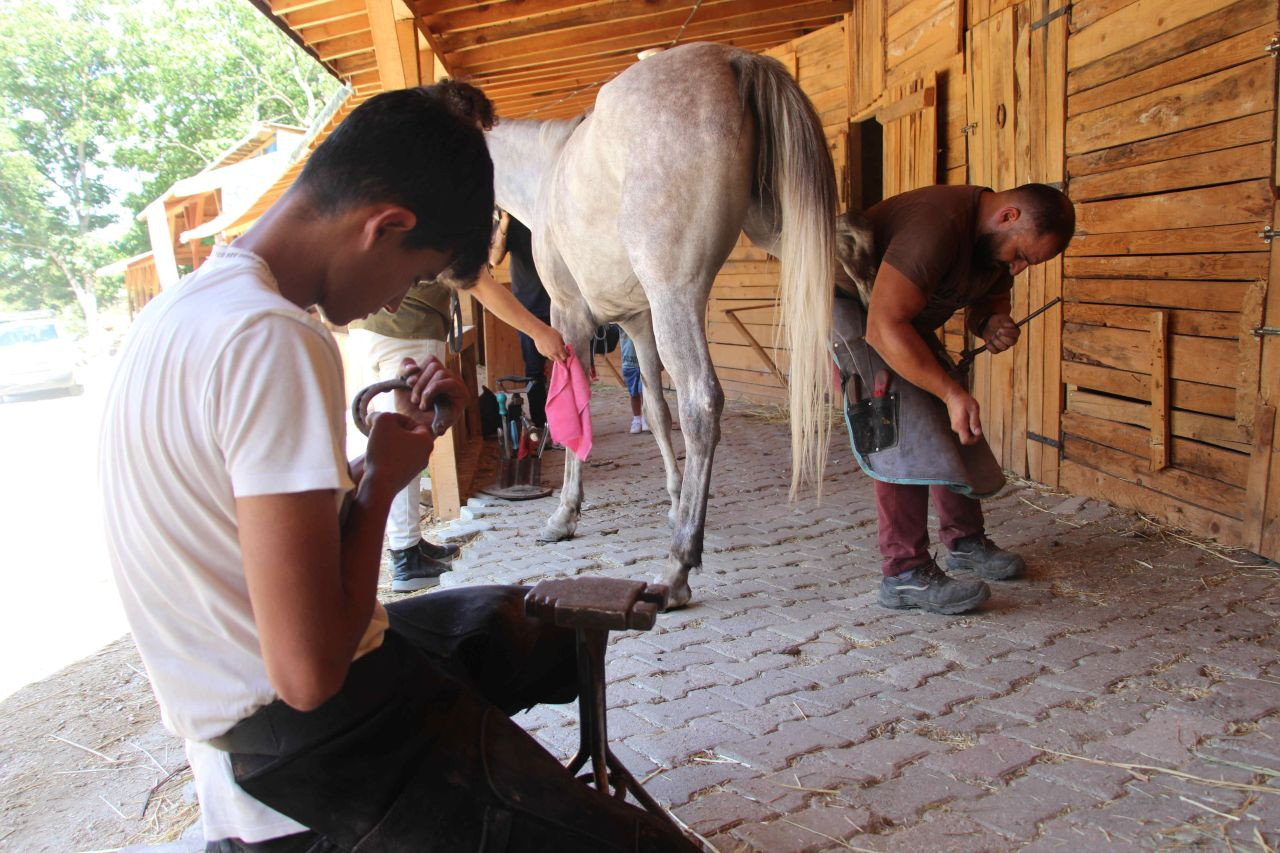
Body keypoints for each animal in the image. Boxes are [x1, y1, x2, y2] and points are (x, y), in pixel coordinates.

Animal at [483, 41, 834, 604]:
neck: (548, 167)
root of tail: (733, 60)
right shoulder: (638, 322)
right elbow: (654, 408)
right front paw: (672, 499)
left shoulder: (570, 316)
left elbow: (577, 404)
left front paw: (564, 515)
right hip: (804, 243)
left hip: (678, 294)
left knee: (700, 402)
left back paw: (676, 568)